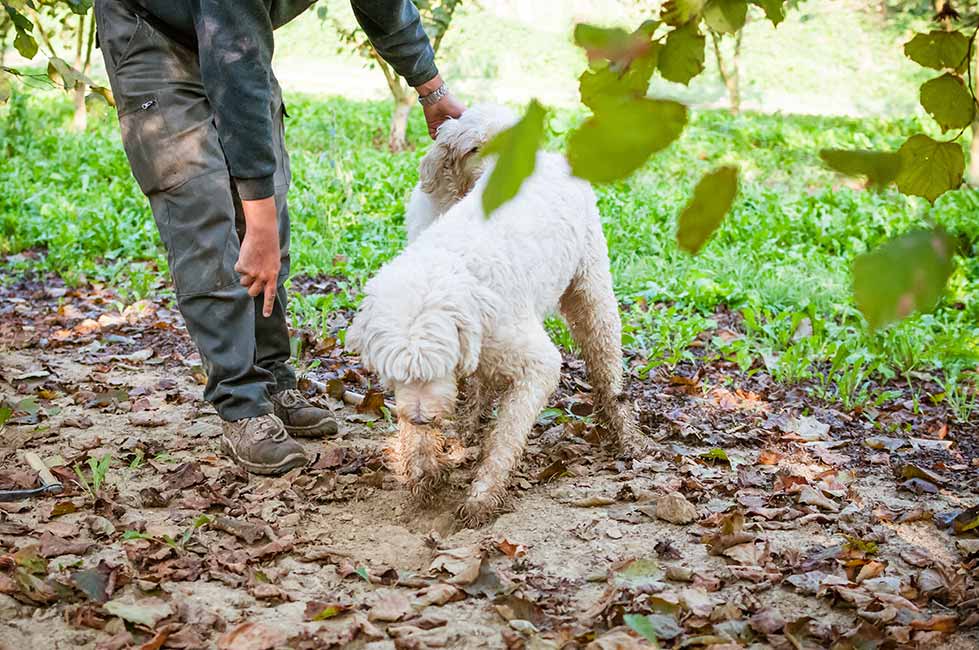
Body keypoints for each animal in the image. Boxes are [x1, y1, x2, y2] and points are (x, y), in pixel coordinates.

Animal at [348, 105, 648, 520]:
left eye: (436, 368)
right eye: (395, 375)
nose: (423, 417)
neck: (452, 266)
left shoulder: (537, 364)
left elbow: (507, 435)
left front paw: (483, 494)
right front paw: (424, 469)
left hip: (592, 294)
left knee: (606, 367)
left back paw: (626, 432)